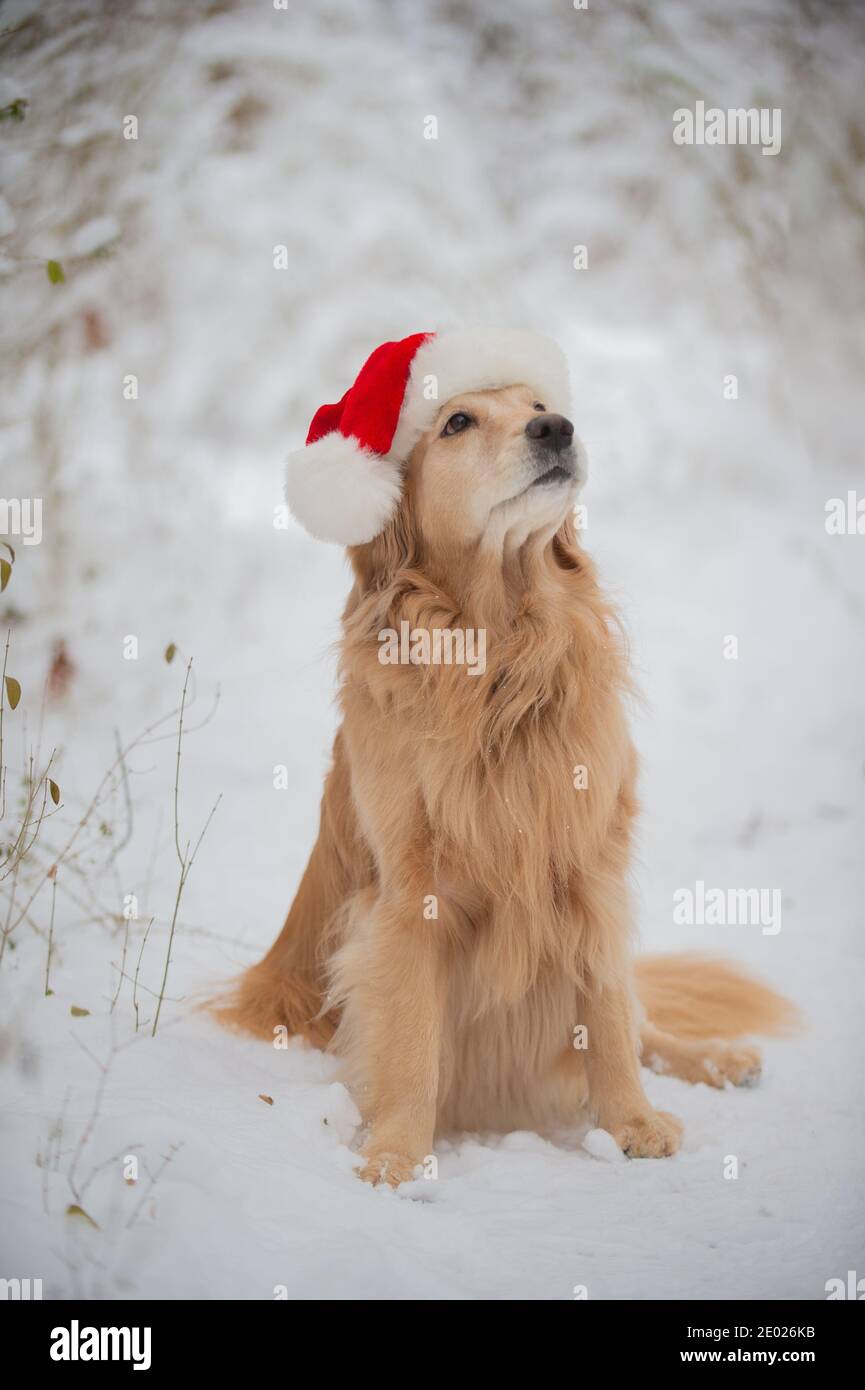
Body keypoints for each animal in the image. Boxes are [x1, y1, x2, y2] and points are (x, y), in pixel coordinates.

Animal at [216, 328, 801, 1184]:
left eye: (537, 404)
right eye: (457, 422)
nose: (556, 428)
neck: (498, 653)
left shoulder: (589, 869)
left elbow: (609, 1021)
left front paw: (631, 1123)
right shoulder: (409, 900)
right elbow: (410, 1041)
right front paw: (397, 1154)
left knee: (640, 1023)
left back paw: (717, 1059)